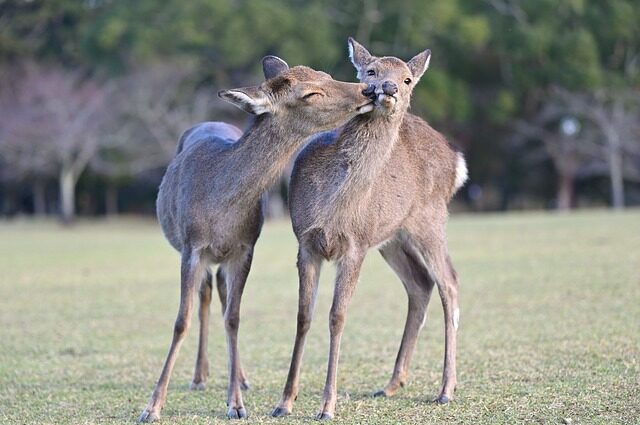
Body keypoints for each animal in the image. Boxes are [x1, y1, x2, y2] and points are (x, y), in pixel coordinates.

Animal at [137, 55, 372, 420]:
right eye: (310, 93)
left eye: (326, 74)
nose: (369, 90)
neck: (219, 207)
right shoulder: (191, 247)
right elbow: (180, 321)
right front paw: (152, 407)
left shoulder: (245, 249)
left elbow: (234, 317)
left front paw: (236, 403)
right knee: (206, 295)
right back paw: (199, 376)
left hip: (224, 258)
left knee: (220, 296)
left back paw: (240, 378)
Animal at [268, 38, 464, 420]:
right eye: (370, 71)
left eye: (406, 79)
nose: (387, 88)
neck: (333, 205)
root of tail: (456, 162)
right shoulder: (306, 243)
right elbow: (303, 316)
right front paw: (284, 403)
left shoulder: (354, 246)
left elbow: (337, 316)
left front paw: (327, 406)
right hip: (391, 237)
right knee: (420, 283)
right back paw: (391, 384)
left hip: (430, 219)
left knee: (448, 281)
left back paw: (446, 390)